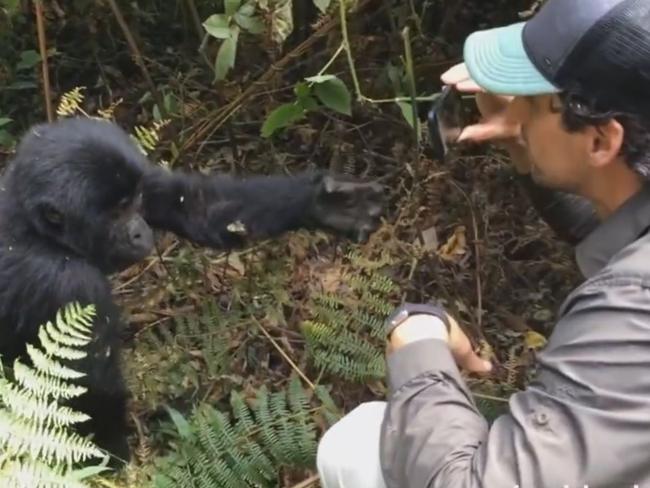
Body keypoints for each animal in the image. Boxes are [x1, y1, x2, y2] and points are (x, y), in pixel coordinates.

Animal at [0, 116, 382, 468]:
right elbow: (88, 402)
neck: (41, 230)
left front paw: (325, 204)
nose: (139, 231)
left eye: (134, 200)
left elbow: (192, 202)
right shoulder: (66, 284)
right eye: (116, 213)